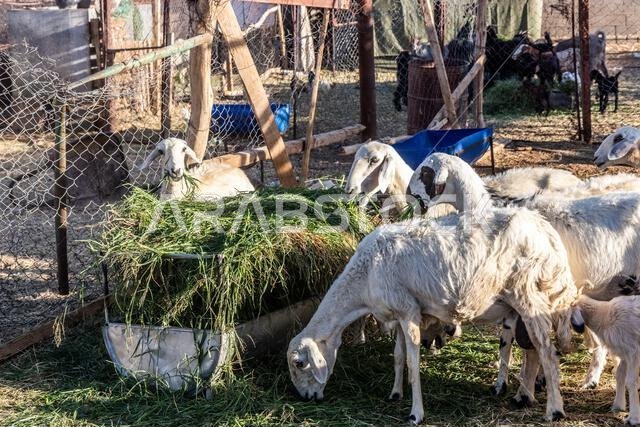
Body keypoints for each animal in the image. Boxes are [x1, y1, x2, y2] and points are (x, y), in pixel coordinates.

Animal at [288, 205, 577, 423]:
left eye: (299, 363)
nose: (305, 398)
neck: (364, 279)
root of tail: (547, 232)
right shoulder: (399, 312)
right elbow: (398, 356)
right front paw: (395, 393)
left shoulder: (408, 312)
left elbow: (412, 362)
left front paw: (416, 414)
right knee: (533, 348)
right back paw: (525, 395)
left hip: (528, 294)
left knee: (546, 350)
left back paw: (554, 410)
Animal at [409, 153, 640, 394]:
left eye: (425, 173)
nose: (411, 201)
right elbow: (509, 342)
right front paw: (508, 382)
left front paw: (532, 382)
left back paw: (593, 378)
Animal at [571, 294, 640, 425]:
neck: (605, 316)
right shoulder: (624, 353)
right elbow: (620, 375)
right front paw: (618, 405)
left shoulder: (633, 352)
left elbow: (631, 381)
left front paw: (633, 418)